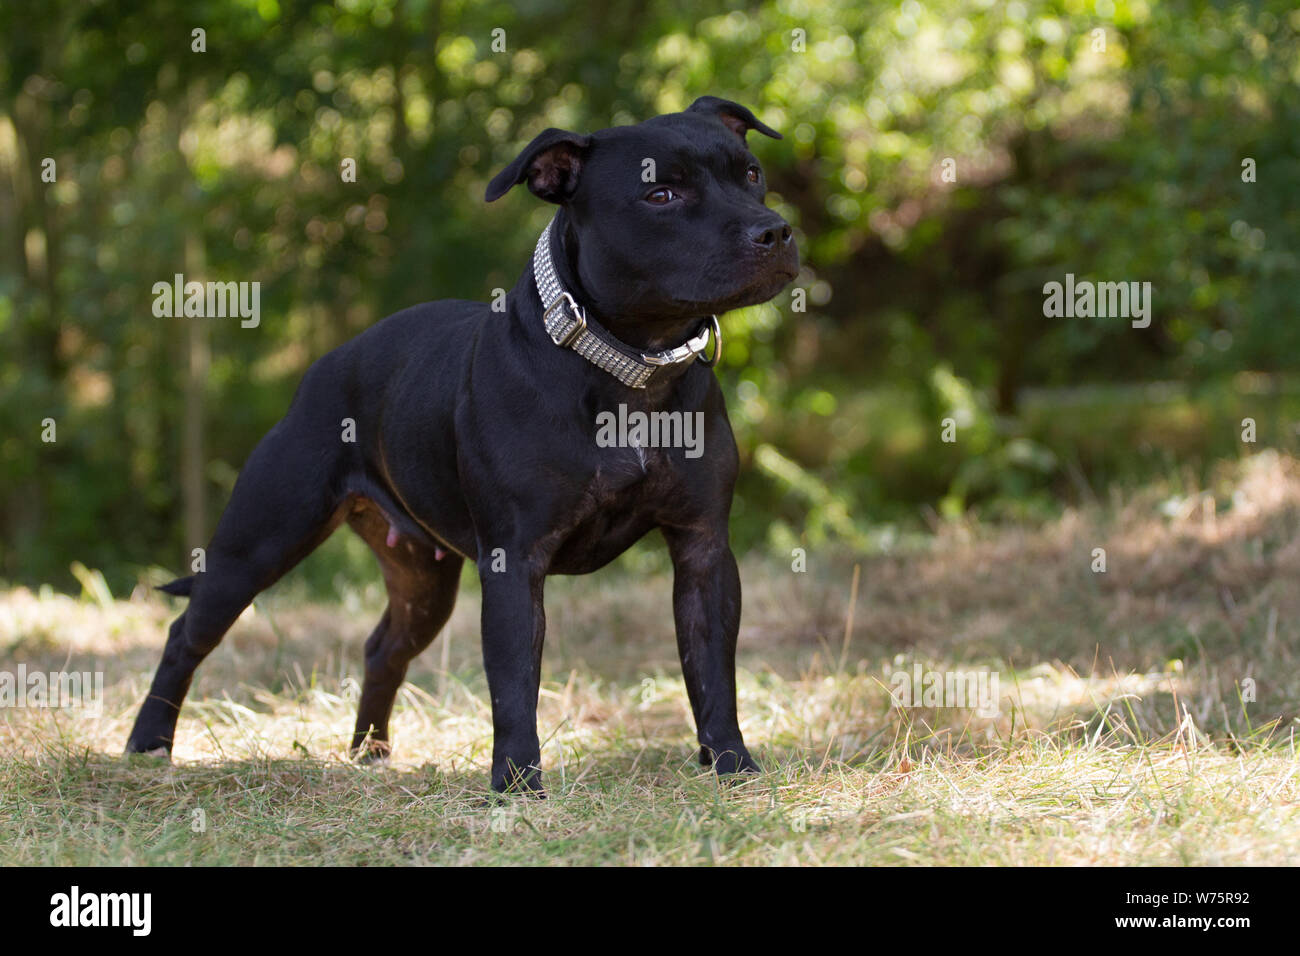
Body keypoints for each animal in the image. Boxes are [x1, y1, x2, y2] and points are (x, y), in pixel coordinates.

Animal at [134, 95, 800, 790]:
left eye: (751, 174)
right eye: (662, 194)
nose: (775, 231)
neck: (631, 365)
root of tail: (330, 362)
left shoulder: (703, 549)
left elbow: (712, 672)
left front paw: (733, 766)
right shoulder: (514, 560)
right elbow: (514, 681)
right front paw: (517, 784)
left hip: (422, 581)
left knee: (384, 646)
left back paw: (369, 752)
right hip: (257, 545)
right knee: (186, 633)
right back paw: (148, 744)